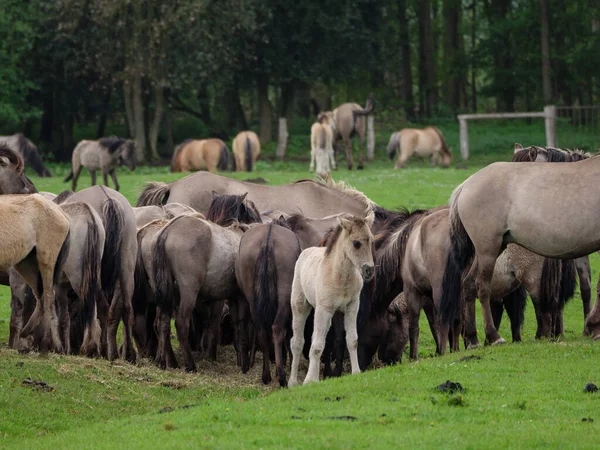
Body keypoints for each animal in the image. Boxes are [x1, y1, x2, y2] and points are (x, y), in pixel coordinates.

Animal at [1, 195, 70, 354]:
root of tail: (60, 211)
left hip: (46, 261)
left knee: (49, 297)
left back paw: (48, 347)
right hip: (26, 265)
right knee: (41, 298)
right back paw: (26, 333)